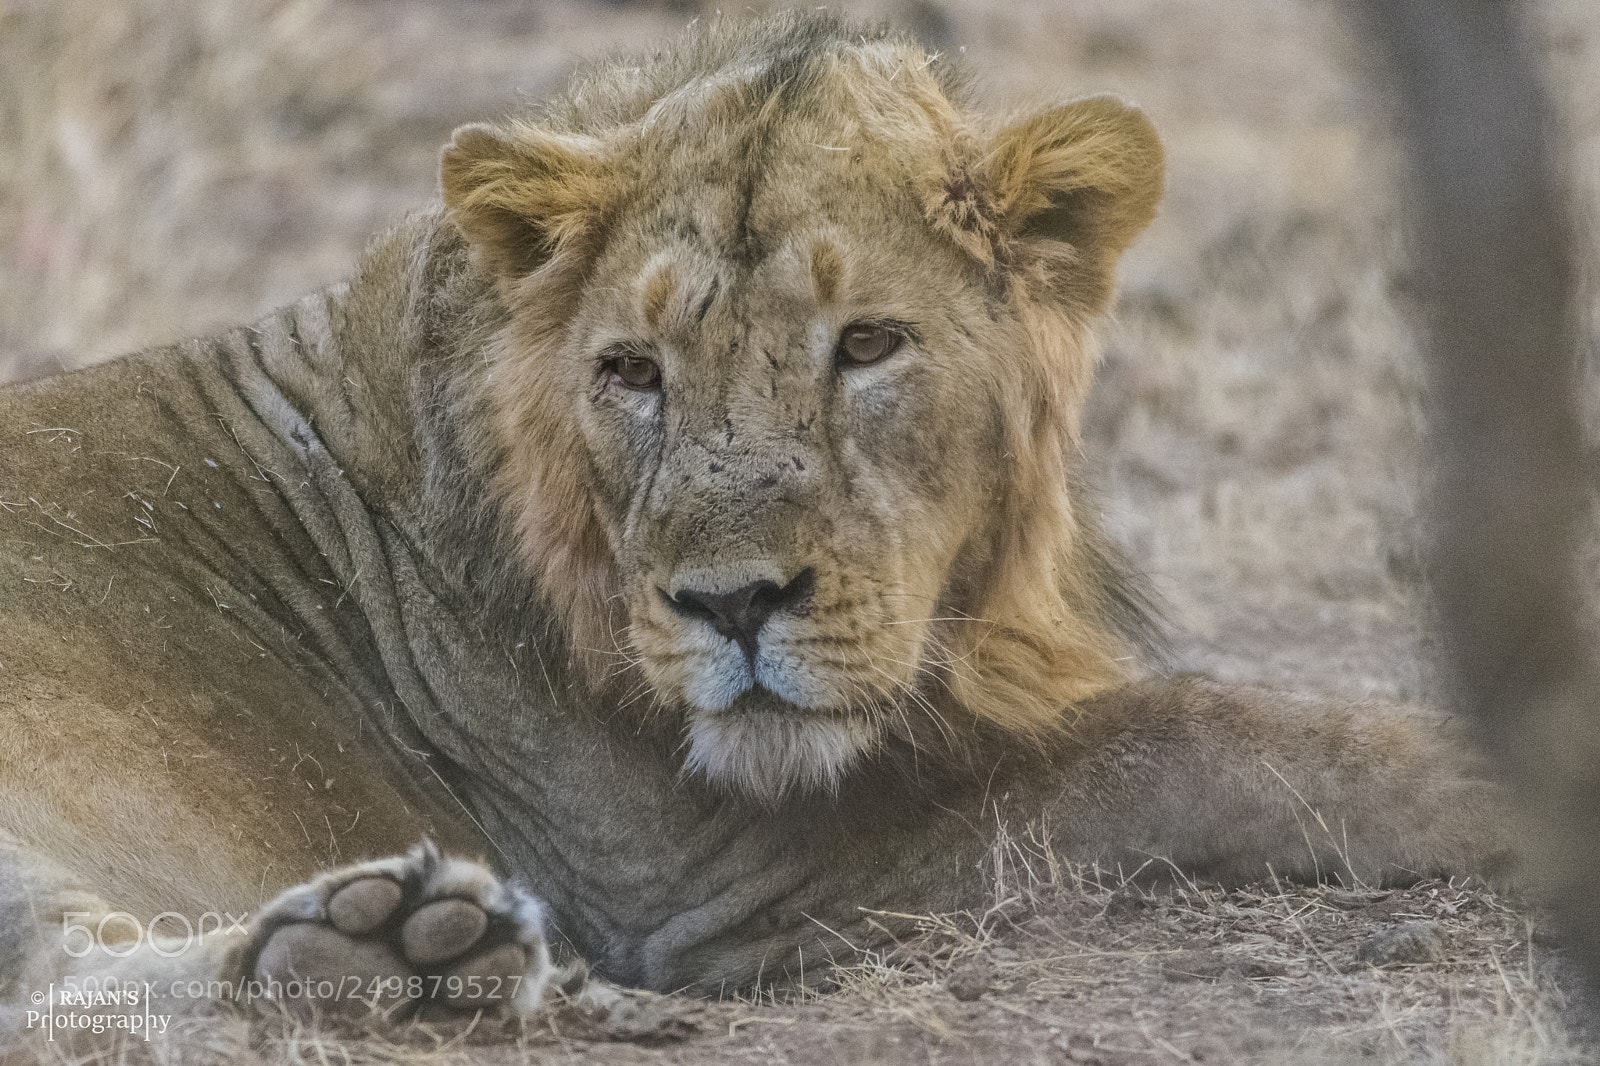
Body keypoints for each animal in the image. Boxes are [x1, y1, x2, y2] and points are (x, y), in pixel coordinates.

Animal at [0, 12, 1507, 1031]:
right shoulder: (704, 875)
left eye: (869, 344)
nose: (730, 606)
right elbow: (1202, 739)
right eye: (631, 371)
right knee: (70, 995)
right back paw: (397, 967)